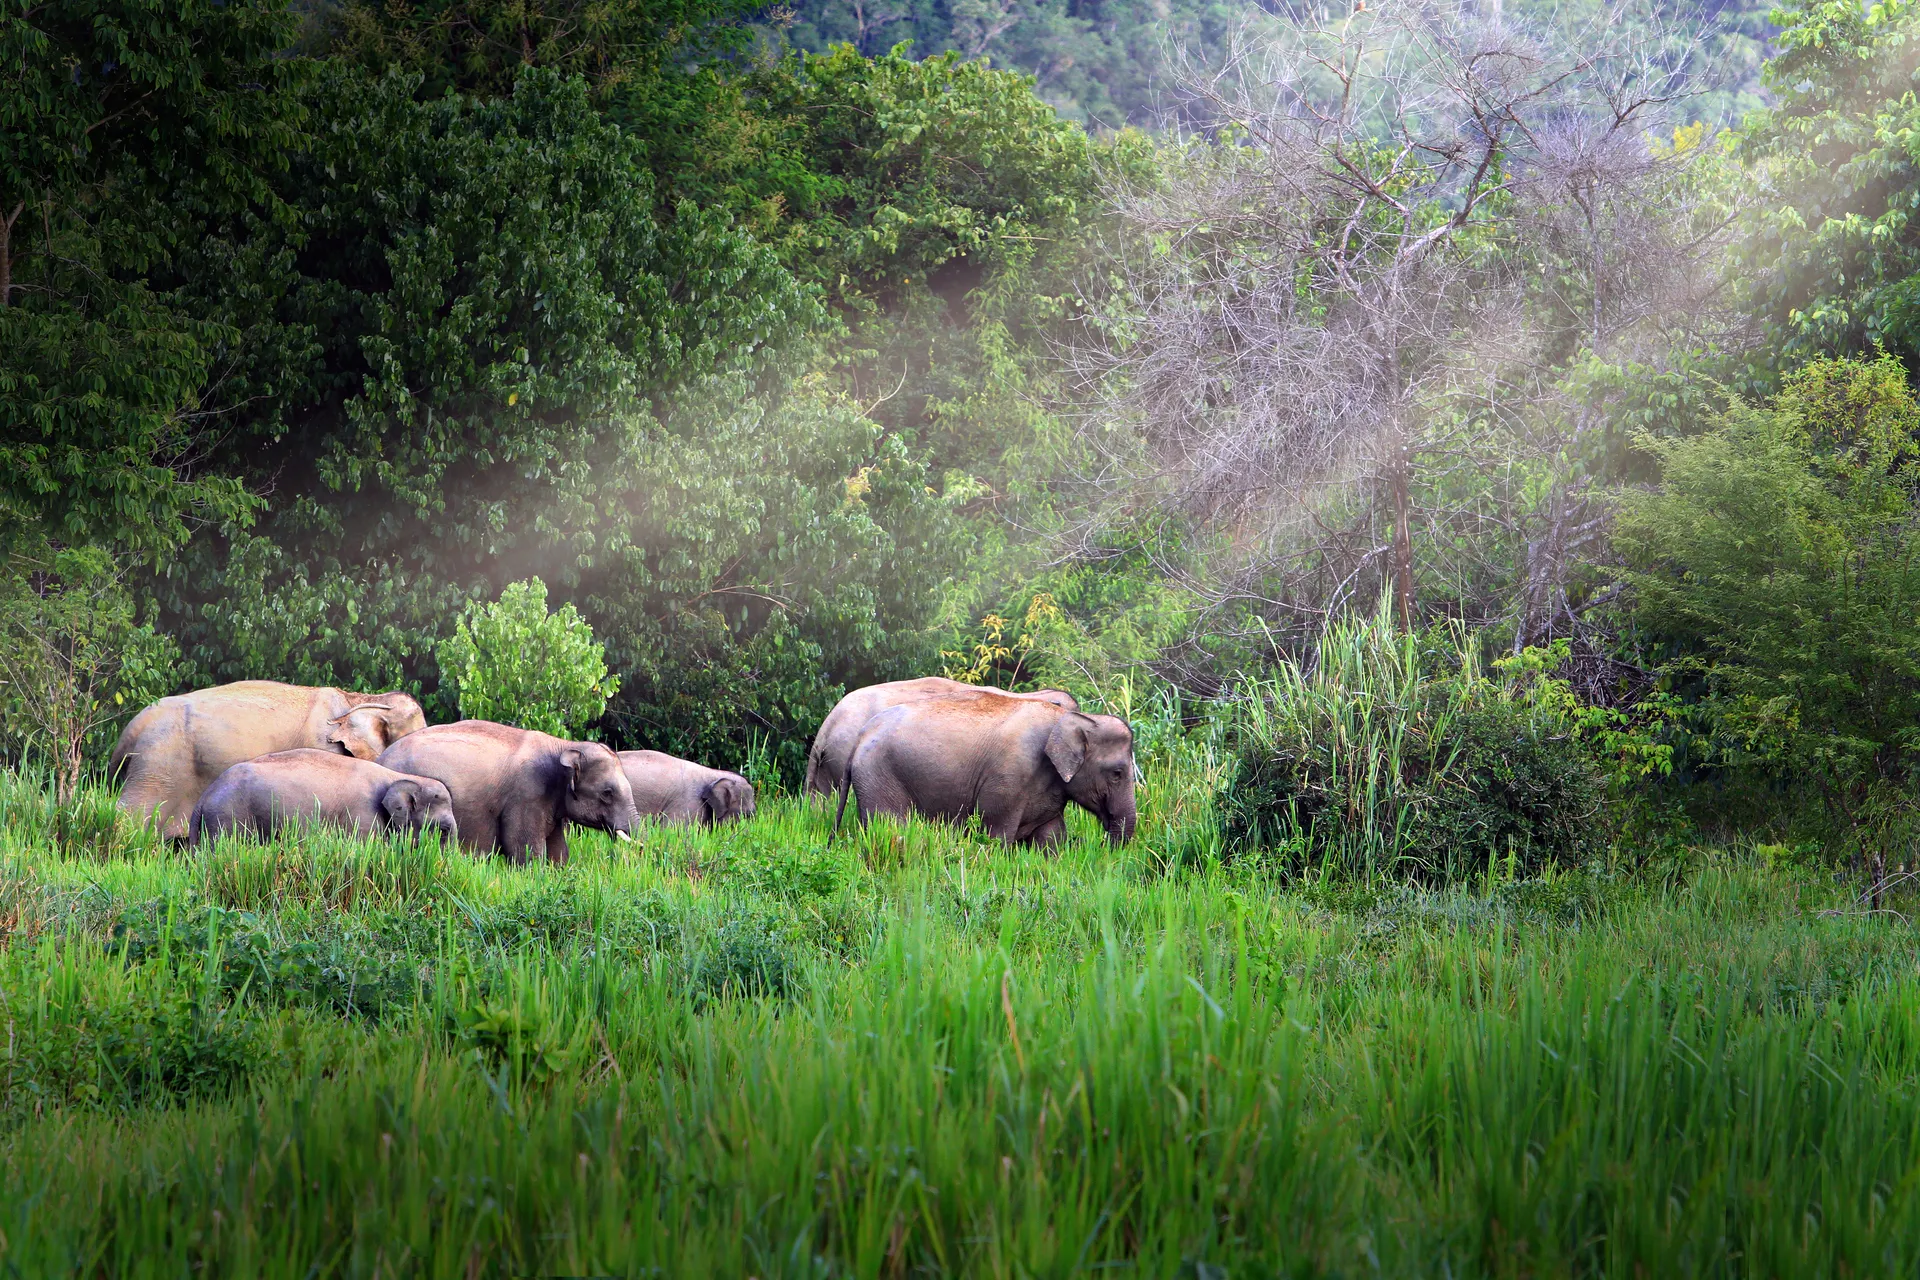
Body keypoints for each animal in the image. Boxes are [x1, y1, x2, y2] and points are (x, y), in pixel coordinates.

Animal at [833, 691, 1137, 848]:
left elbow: (1051, 838)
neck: (1063, 719)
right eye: (1117, 773)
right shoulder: (1007, 780)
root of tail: (861, 734)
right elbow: (996, 834)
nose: (1101, 846)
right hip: (879, 775)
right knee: (891, 827)